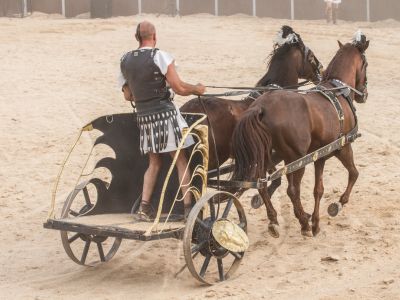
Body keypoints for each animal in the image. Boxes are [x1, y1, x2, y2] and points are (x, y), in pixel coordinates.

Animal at [233, 30, 370, 237]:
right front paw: (337, 204)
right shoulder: (343, 147)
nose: (365, 94)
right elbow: (354, 173)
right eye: (366, 64)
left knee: (263, 184)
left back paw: (274, 219)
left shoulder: (319, 156)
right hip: (295, 158)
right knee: (292, 190)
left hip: (270, 155)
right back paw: (303, 223)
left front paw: (316, 221)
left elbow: (318, 189)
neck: (338, 89)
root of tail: (261, 106)